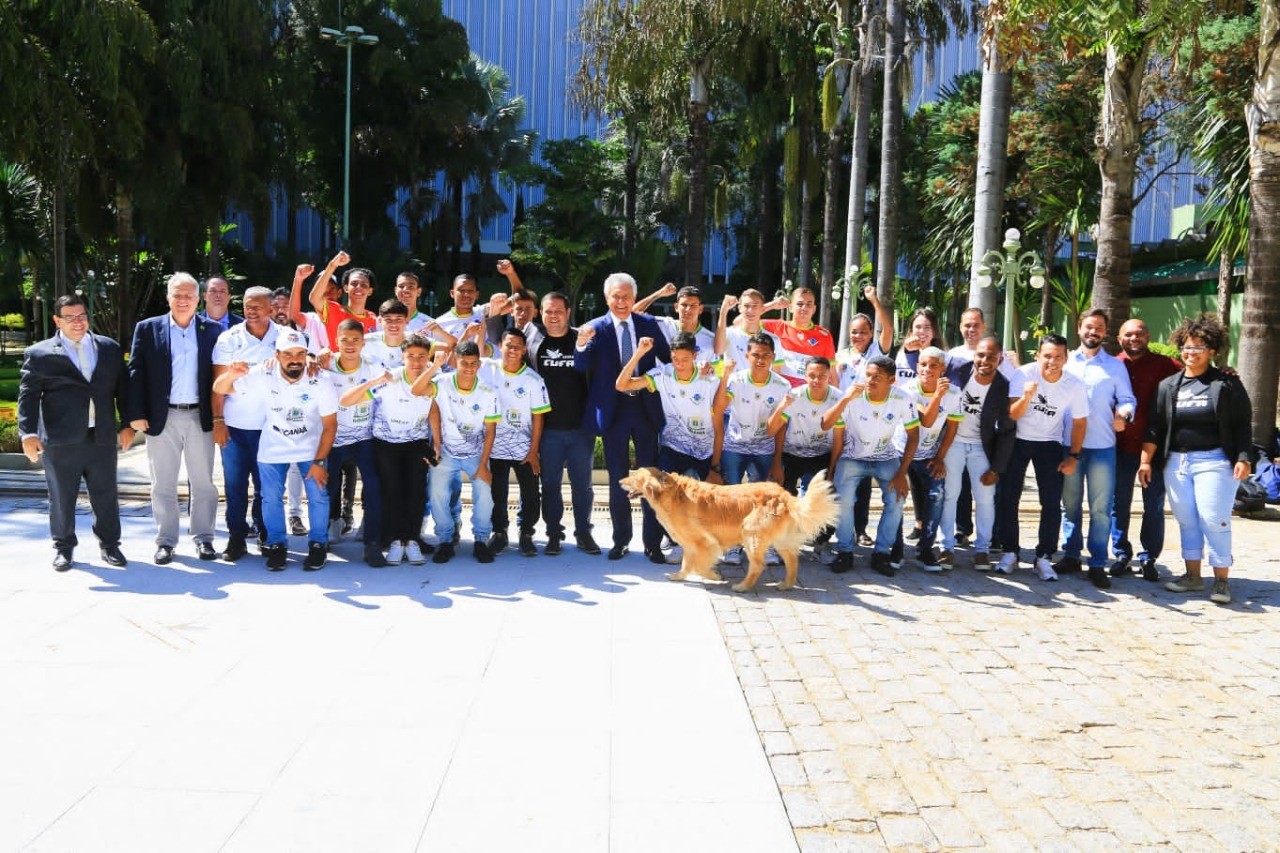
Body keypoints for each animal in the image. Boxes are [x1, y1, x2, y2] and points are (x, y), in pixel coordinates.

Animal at [616, 466, 839, 591]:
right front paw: (678, 576)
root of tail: (785, 495)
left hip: (750, 533)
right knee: (792, 562)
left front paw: (714, 576)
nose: (618, 481)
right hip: (779, 540)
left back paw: (742, 587)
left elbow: (698, 566)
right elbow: (687, 564)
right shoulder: (691, 544)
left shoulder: (705, 542)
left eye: (633, 477)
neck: (672, 493)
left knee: (758, 566)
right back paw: (785, 585)